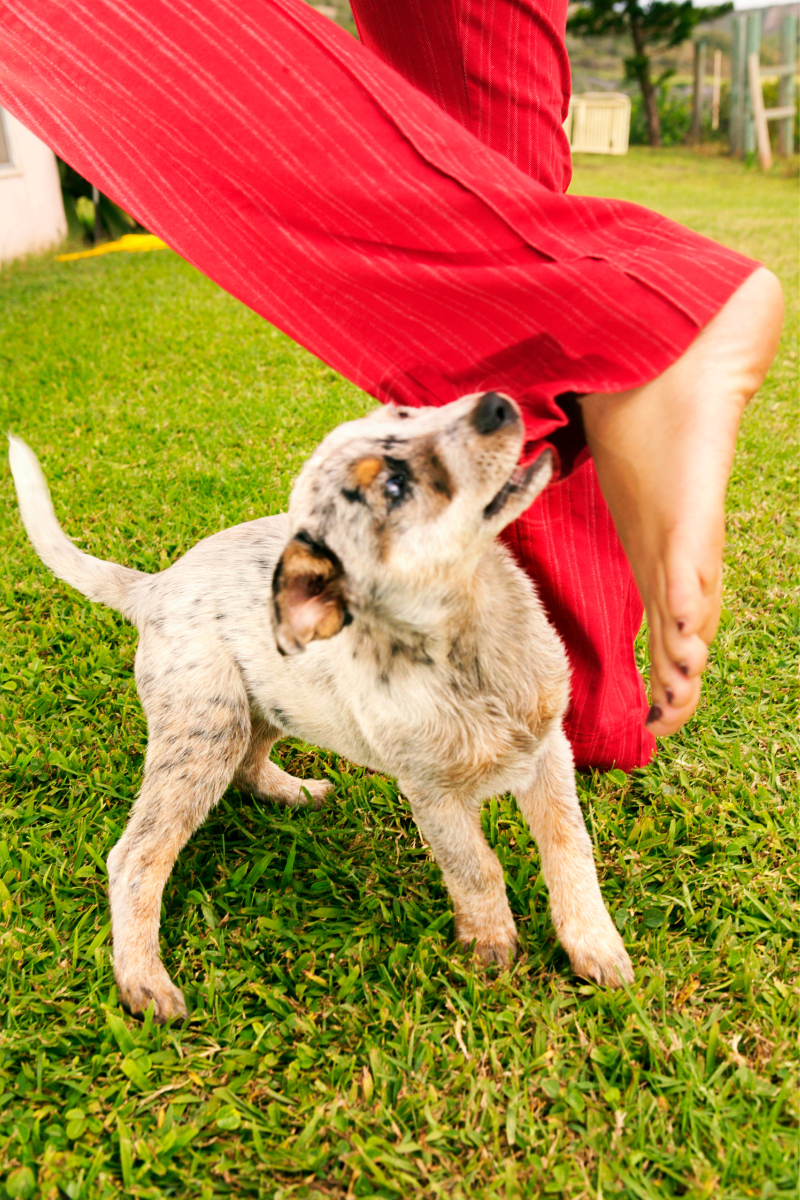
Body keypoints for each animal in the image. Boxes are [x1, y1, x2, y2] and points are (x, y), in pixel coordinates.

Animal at [6, 396, 633, 1022]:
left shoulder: (548, 750)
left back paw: (297, 793)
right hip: (204, 732)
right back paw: (144, 981)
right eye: (393, 488)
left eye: (407, 412)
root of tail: (155, 586)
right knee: (134, 857)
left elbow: (570, 849)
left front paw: (595, 946)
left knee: (249, 767)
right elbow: (476, 868)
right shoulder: (431, 793)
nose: (496, 402)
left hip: (266, 708)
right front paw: (491, 947)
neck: (471, 640)